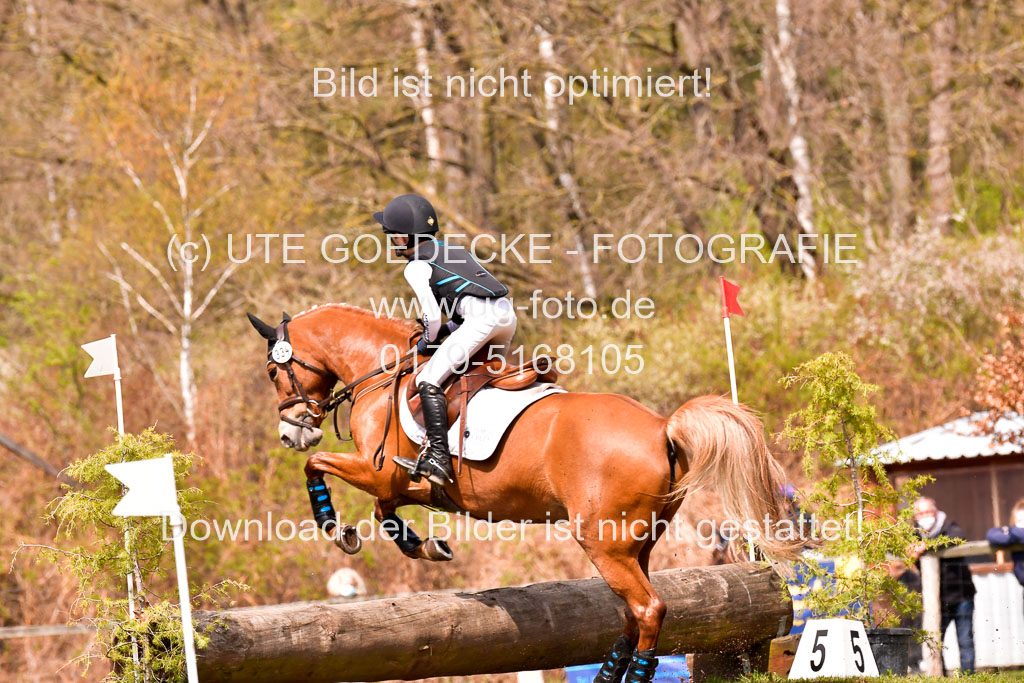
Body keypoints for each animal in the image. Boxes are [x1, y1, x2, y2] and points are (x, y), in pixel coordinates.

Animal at [245, 305, 798, 679]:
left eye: (273, 371)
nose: (292, 433)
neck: (379, 373)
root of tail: (663, 426)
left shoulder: (381, 472)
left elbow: (321, 468)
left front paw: (335, 527)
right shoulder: (401, 483)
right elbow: (385, 511)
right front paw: (425, 545)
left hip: (603, 542)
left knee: (648, 610)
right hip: (636, 545)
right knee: (634, 612)